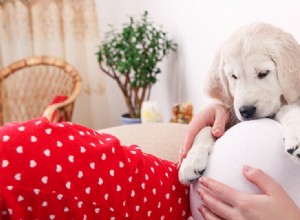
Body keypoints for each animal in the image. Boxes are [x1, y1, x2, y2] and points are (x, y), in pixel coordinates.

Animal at [179, 22, 300, 184]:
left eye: (263, 73)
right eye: (233, 76)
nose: (246, 111)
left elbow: (290, 110)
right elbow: (206, 128)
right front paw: (191, 160)